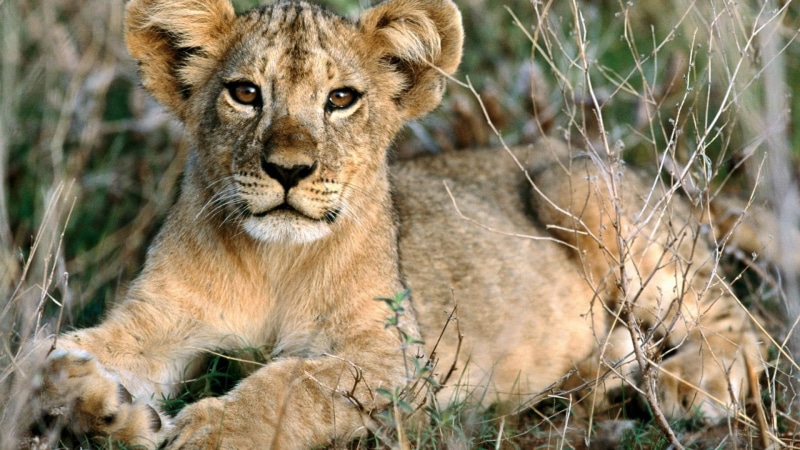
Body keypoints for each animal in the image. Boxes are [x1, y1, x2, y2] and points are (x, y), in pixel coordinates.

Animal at [4, 0, 766, 448]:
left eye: (341, 99)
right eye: (245, 93)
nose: (288, 170)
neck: (274, 261)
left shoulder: (399, 361)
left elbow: (296, 384)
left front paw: (207, 431)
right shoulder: (158, 317)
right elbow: (41, 355)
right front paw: (107, 408)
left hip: (577, 184)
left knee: (739, 324)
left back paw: (689, 384)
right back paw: (593, 379)